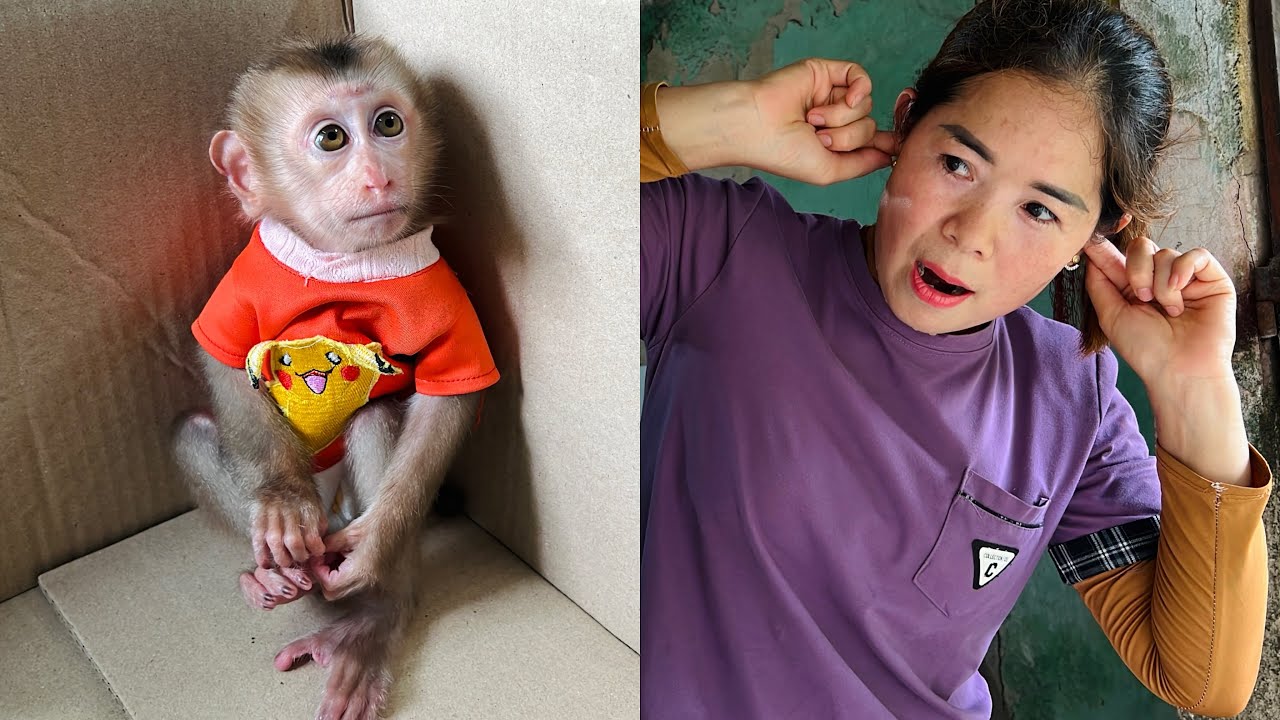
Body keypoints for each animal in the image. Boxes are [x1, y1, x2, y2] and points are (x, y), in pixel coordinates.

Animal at [173, 35, 500, 720]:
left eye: (388, 124)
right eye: (331, 139)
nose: (379, 176)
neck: (339, 263)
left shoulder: (442, 288)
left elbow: (448, 401)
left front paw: (374, 548)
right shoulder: (249, 268)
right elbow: (225, 359)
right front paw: (280, 501)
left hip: (346, 515)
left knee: (374, 417)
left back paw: (375, 614)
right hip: (317, 520)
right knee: (192, 433)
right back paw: (272, 575)